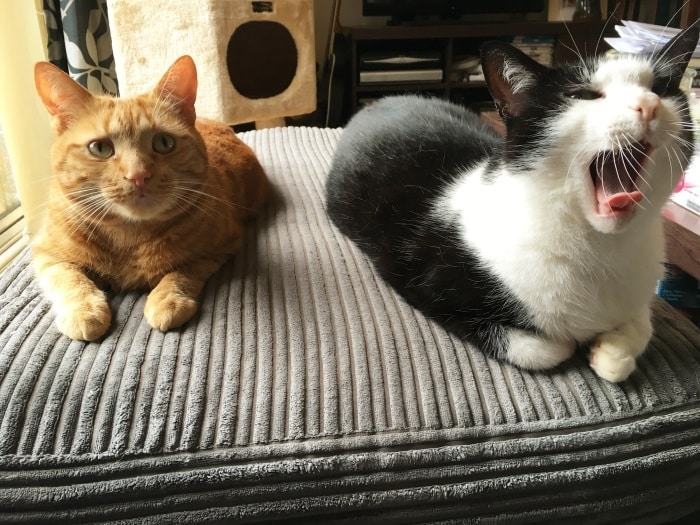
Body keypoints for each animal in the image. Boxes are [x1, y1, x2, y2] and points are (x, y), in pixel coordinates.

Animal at [32, 56, 270, 340]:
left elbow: (182, 271)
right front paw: (84, 310)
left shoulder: (222, 245)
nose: (138, 175)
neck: (128, 236)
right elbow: (69, 278)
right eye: (99, 148)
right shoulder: (45, 254)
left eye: (164, 143)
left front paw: (168, 299)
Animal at [326, 26, 696, 382]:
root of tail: (381, 101)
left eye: (661, 88)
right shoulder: (428, 284)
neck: (603, 246)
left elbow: (642, 324)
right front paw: (579, 343)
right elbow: (549, 348)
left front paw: (611, 353)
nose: (648, 104)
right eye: (582, 94)